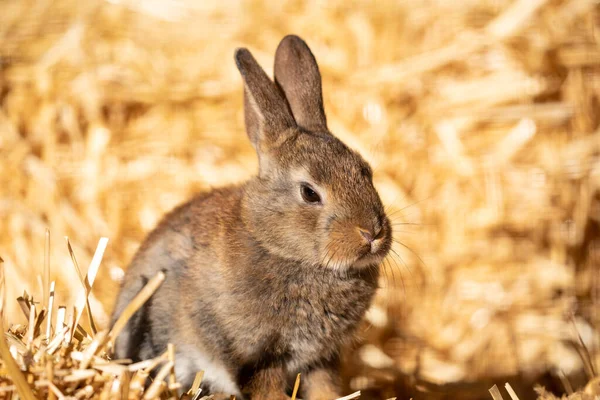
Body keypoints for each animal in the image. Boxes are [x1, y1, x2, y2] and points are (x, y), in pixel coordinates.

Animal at [109, 35, 394, 400]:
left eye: (365, 172)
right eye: (309, 193)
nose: (372, 234)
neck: (275, 244)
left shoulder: (320, 358)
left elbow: (324, 387)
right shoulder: (254, 354)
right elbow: (265, 387)